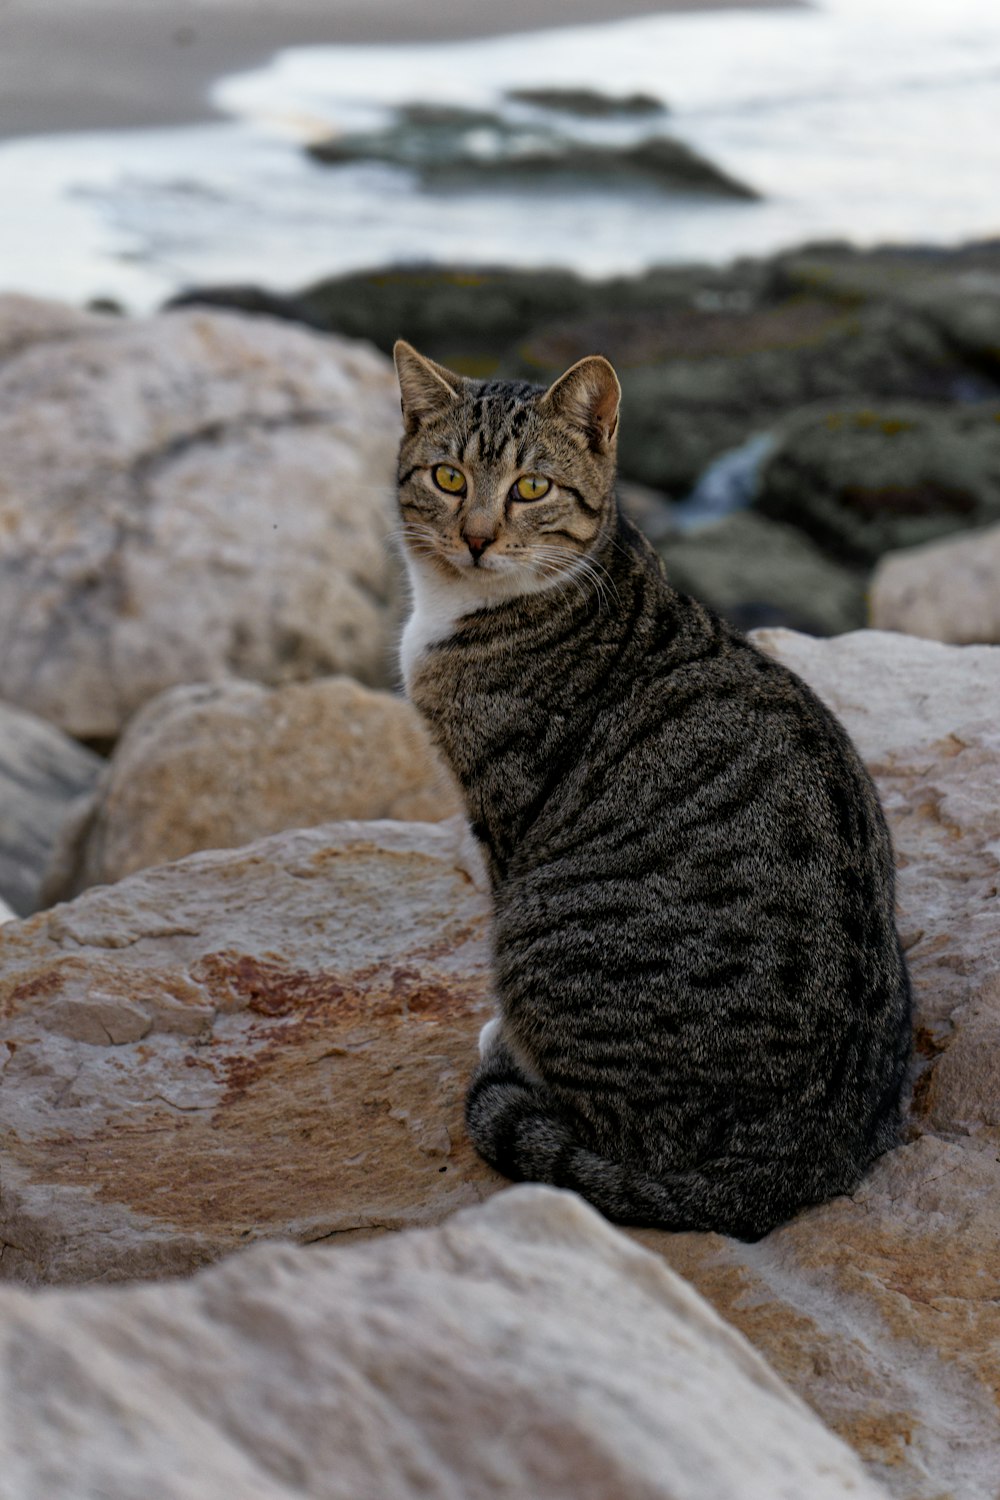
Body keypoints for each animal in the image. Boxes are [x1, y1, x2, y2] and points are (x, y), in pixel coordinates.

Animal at [395, 343, 911, 1242]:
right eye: (448, 478)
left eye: (531, 488)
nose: (478, 538)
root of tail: (788, 1161)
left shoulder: (505, 815)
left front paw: (504, 1038)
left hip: (541, 924)